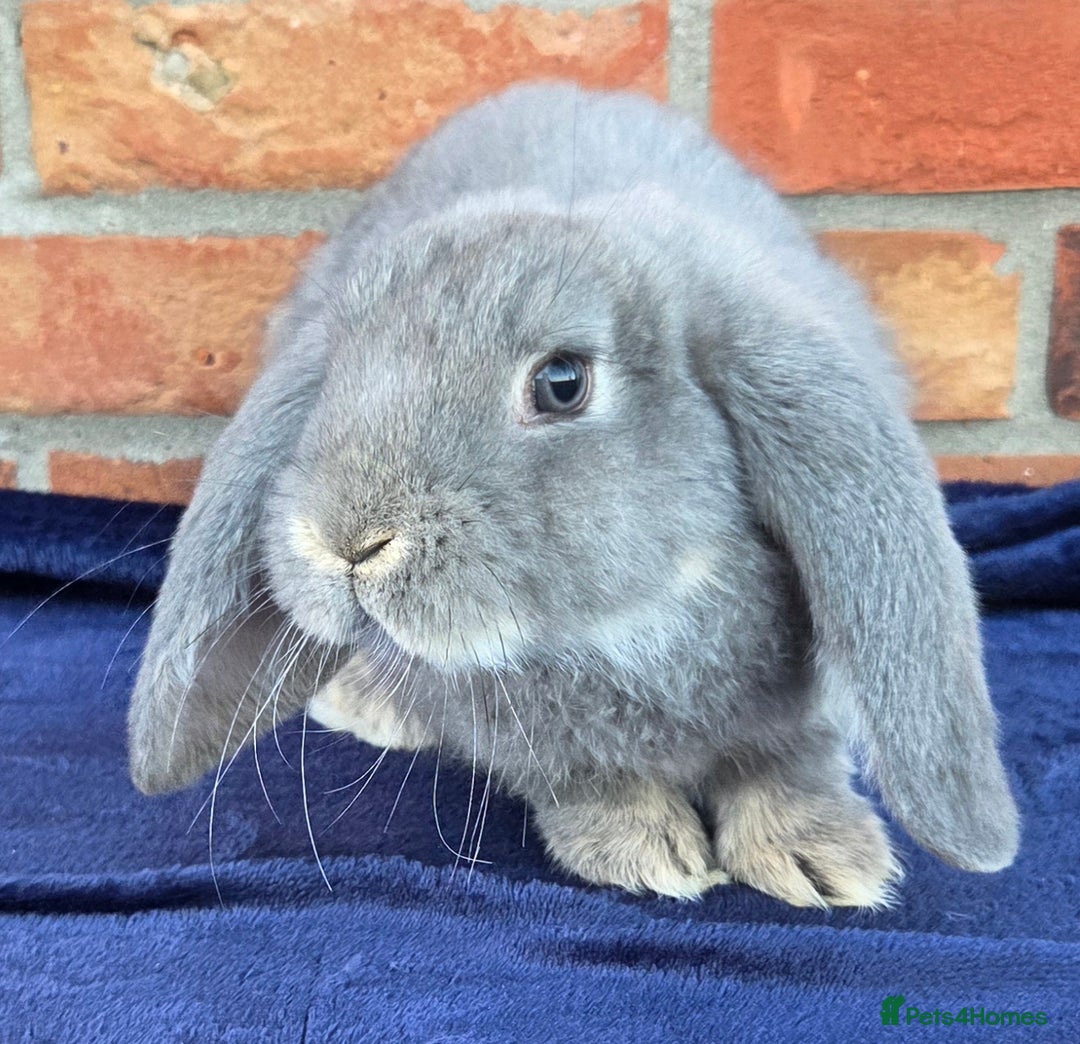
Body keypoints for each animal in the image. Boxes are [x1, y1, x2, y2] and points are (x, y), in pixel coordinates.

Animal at [127, 81, 1019, 907]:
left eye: (562, 382)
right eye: (340, 370)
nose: (344, 542)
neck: (626, 629)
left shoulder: (805, 710)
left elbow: (790, 765)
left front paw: (821, 860)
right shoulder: (537, 745)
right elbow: (588, 782)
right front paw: (648, 853)